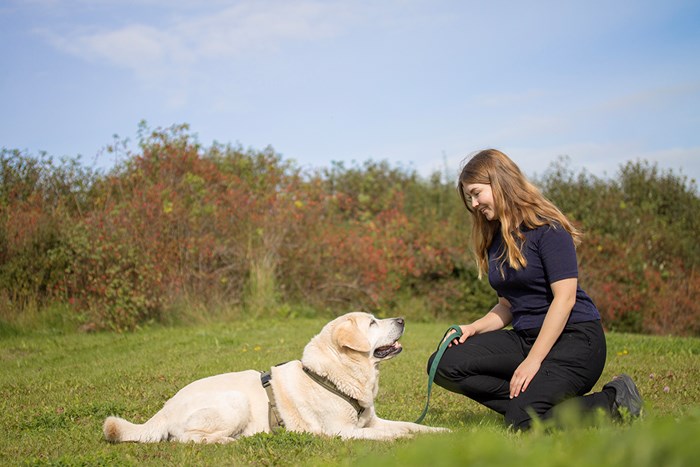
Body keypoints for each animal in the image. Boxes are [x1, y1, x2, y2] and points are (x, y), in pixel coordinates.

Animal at [102, 314, 446, 442]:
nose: (401, 319)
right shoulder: (342, 431)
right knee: (185, 438)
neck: (336, 375)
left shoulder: (371, 419)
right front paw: (403, 439)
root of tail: (163, 409)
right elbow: (390, 433)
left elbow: (411, 424)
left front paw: (441, 431)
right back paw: (227, 440)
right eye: (373, 322)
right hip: (234, 401)